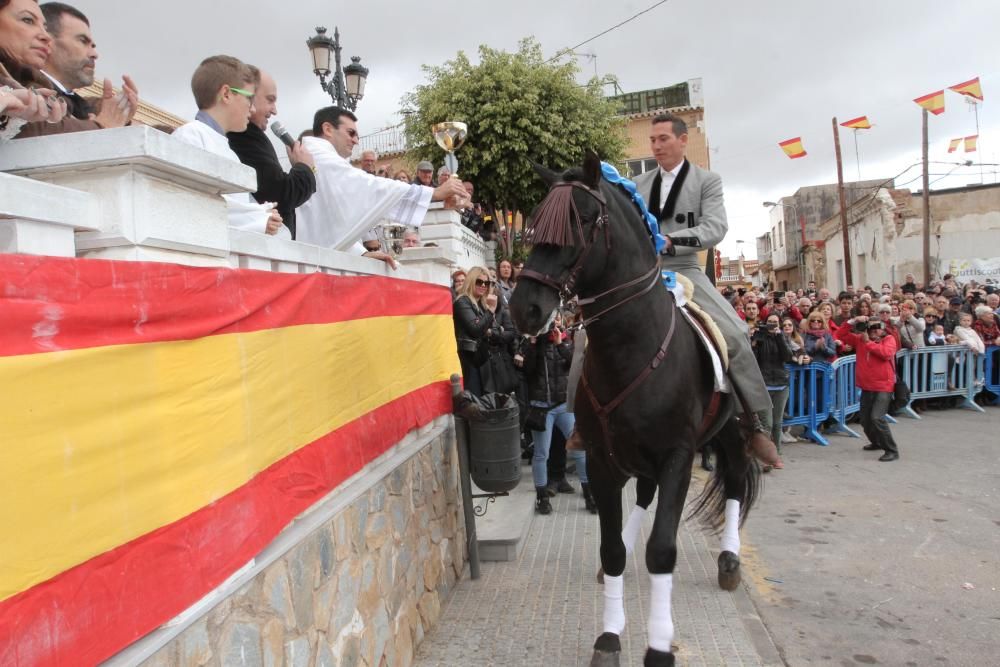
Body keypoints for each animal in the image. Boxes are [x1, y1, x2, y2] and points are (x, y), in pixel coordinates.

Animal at [512, 153, 760, 667]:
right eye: (534, 226)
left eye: (582, 221)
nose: (524, 309)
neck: (632, 345)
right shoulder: (602, 459)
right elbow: (611, 550)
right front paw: (609, 637)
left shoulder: (678, 457)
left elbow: (662, 550)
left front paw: (659, 646)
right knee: (643, 497)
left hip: (730, 430)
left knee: (735, 477)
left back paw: (729, 559)